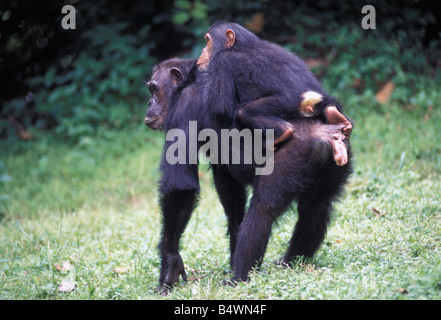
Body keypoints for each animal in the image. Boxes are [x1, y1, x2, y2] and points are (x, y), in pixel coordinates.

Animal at [146, 57, 352, 292]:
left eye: (154, 89)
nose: (149, 103)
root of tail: (325, 135)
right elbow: (227, 181)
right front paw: (234, 241)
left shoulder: (184, 108)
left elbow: (181, 186)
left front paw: (170, 263)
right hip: (335, 162)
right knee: (316, 207)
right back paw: (291, 262)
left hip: (292, 157)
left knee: (262, 210)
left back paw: (239, 278)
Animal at [196, 21, 350, 165]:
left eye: (207, 41)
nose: (202, 50)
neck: (240, 45)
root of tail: (307, 101)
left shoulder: (222, 61)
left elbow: (220, 106)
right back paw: (337, 117)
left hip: (283, 103)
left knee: (245, 112)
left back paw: (283, 133)